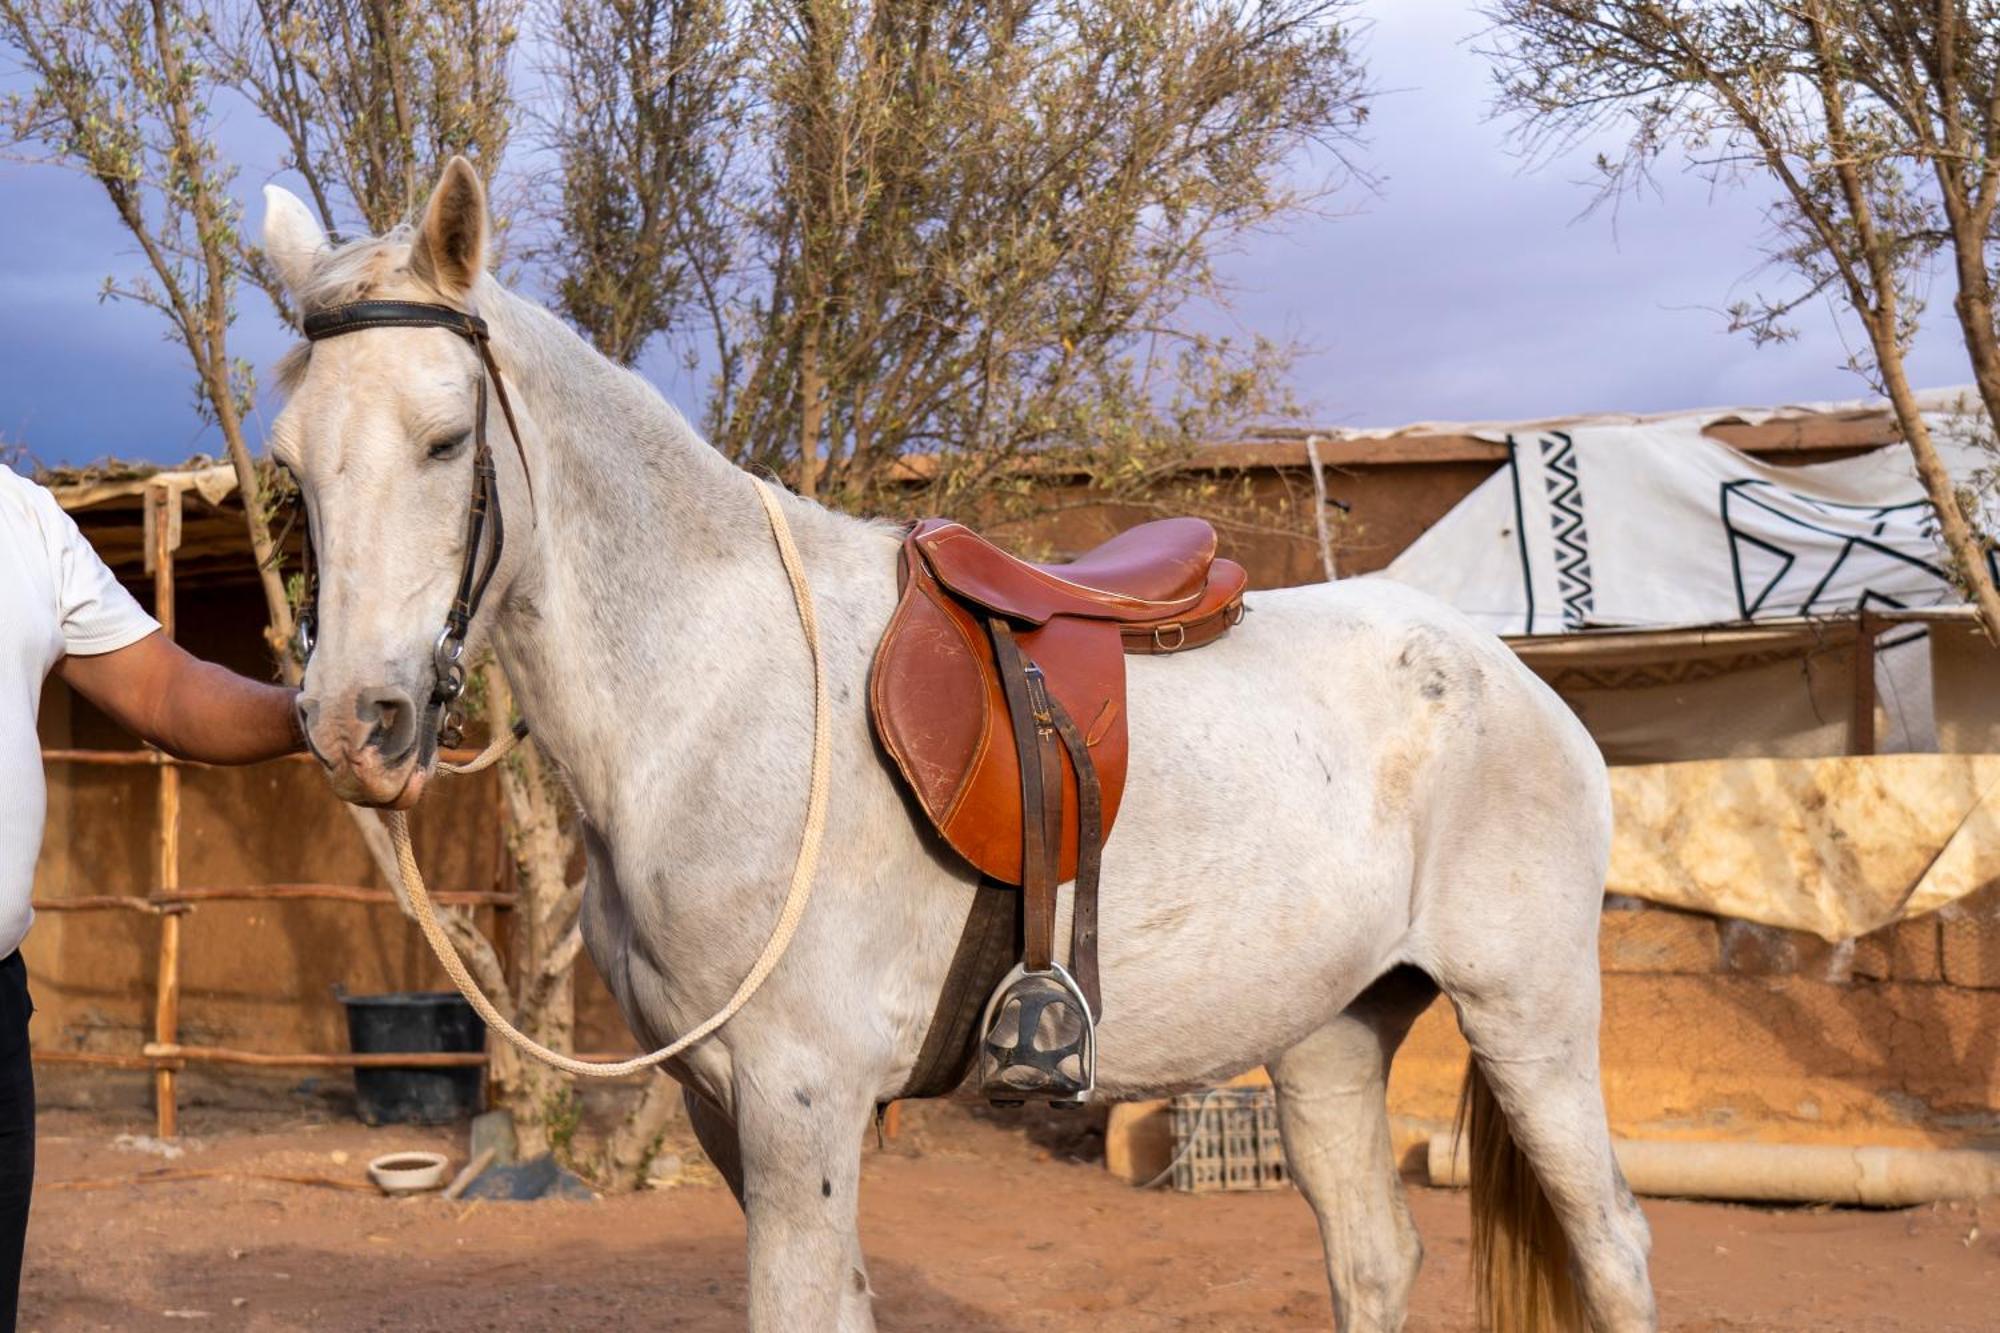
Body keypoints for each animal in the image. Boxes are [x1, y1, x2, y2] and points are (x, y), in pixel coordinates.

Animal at [270, 158, 1656, 1328]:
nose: (356, 725)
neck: (710, 693)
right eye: (288, 465)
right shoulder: (729, 1110)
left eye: (447, 439)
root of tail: (1502, 670)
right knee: (1374, 1258)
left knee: (1614, 1247)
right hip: (1330, 1037)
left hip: (1527, 1020)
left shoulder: (800, 1104)